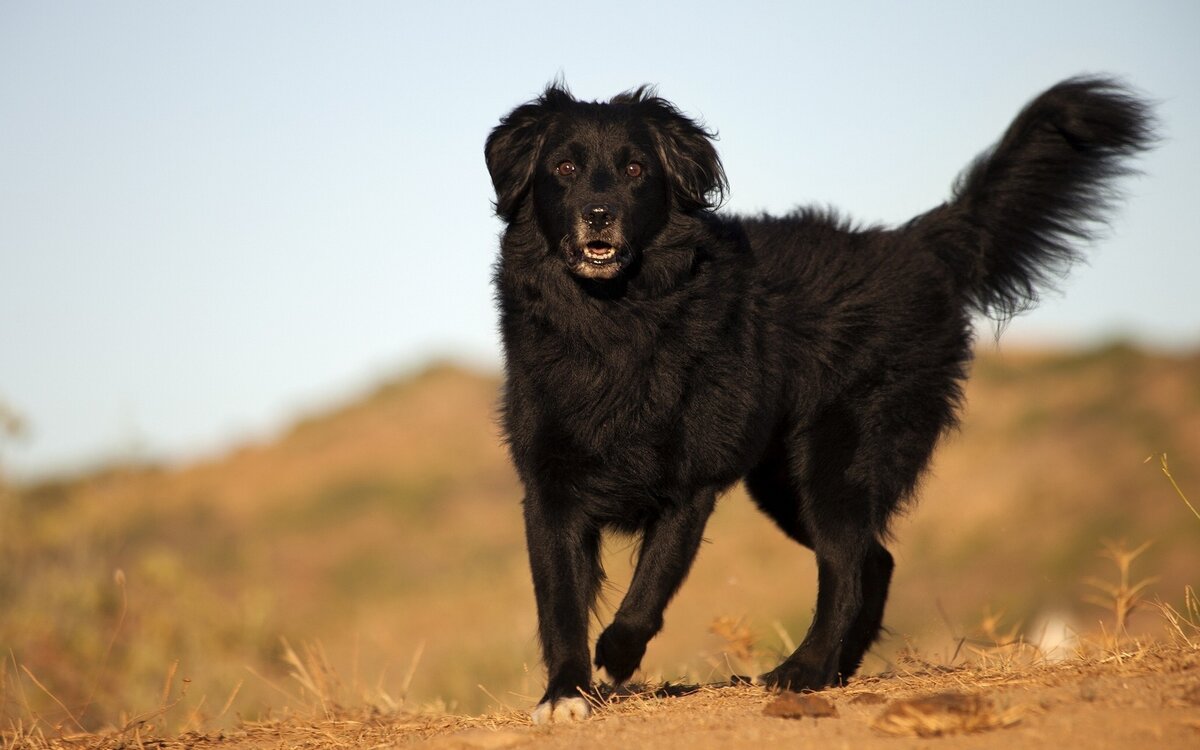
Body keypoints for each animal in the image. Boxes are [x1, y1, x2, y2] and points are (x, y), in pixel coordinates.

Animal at [484, 76, 1152, 720]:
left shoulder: (691, 481)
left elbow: (650, 586)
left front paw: (617, 656)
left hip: (839, 459)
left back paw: (803, 671)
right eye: (563, 168)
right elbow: (560, 603)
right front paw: (565, 694)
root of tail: (915, 244)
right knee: (873, 559)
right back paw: (836, 669)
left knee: (846, 563)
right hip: (785, 484)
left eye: (635, 169)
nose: (599, 215)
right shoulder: (550, 487)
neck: (613, 320)